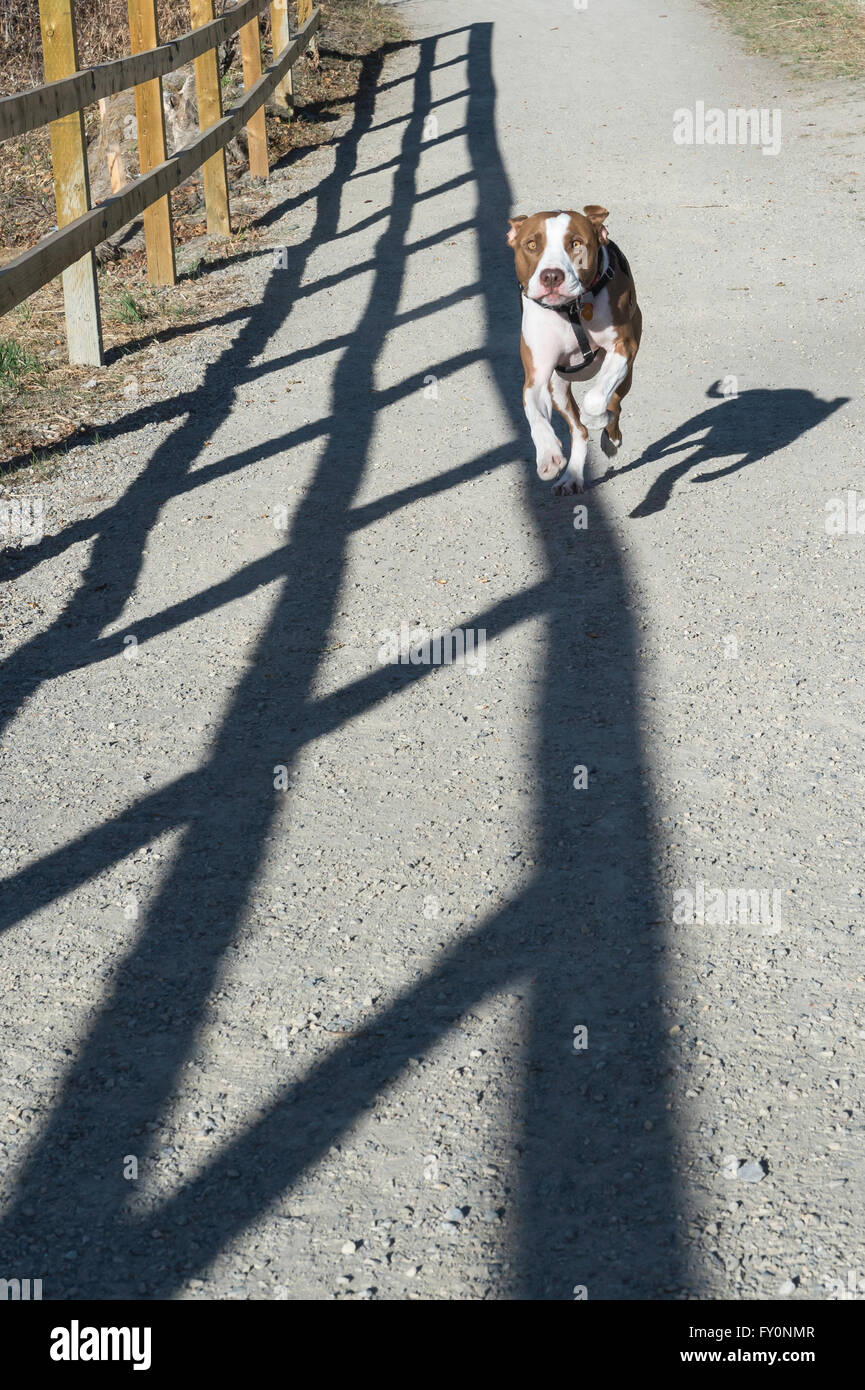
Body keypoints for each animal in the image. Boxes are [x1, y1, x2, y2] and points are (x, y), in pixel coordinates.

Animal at [508, 202, 645, 492]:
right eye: (532, 245)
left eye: (576, 243)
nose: (551, 276)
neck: (570, 309)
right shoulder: (536, 377)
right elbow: (535, 416)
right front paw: (549, 454)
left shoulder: (623, 347)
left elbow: (594, 401)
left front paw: (598, 420)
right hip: (557, 387)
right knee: (578, 430)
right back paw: (571, 477)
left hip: (626, 373)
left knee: (614, 404)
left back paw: (609, 437)